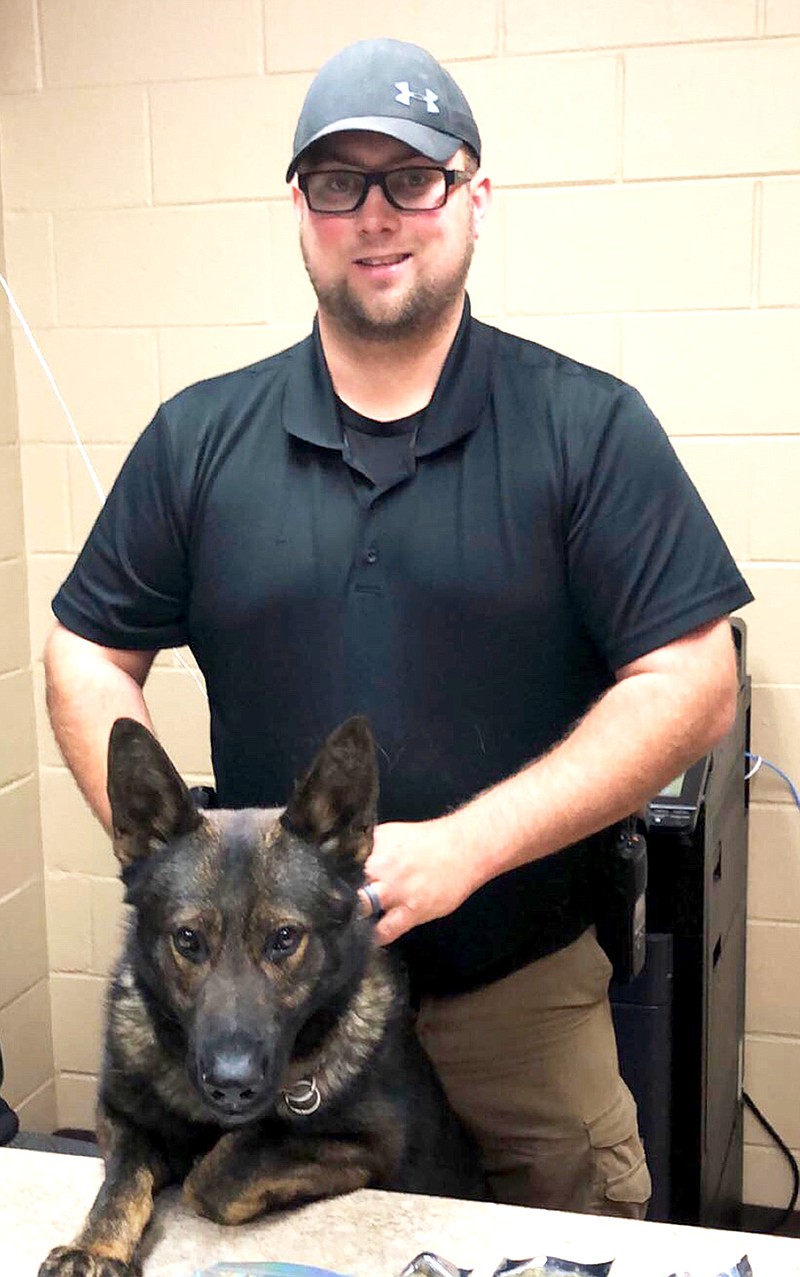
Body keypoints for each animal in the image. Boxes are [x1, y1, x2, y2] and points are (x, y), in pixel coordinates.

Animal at [40, 720, 485, 1277]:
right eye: (188, 939)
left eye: (285, 938)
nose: (232, 1086)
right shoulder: (119, 1117)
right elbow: (119, 1185)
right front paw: (96, 1247)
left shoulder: (371, 1146)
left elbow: (220, 1172)